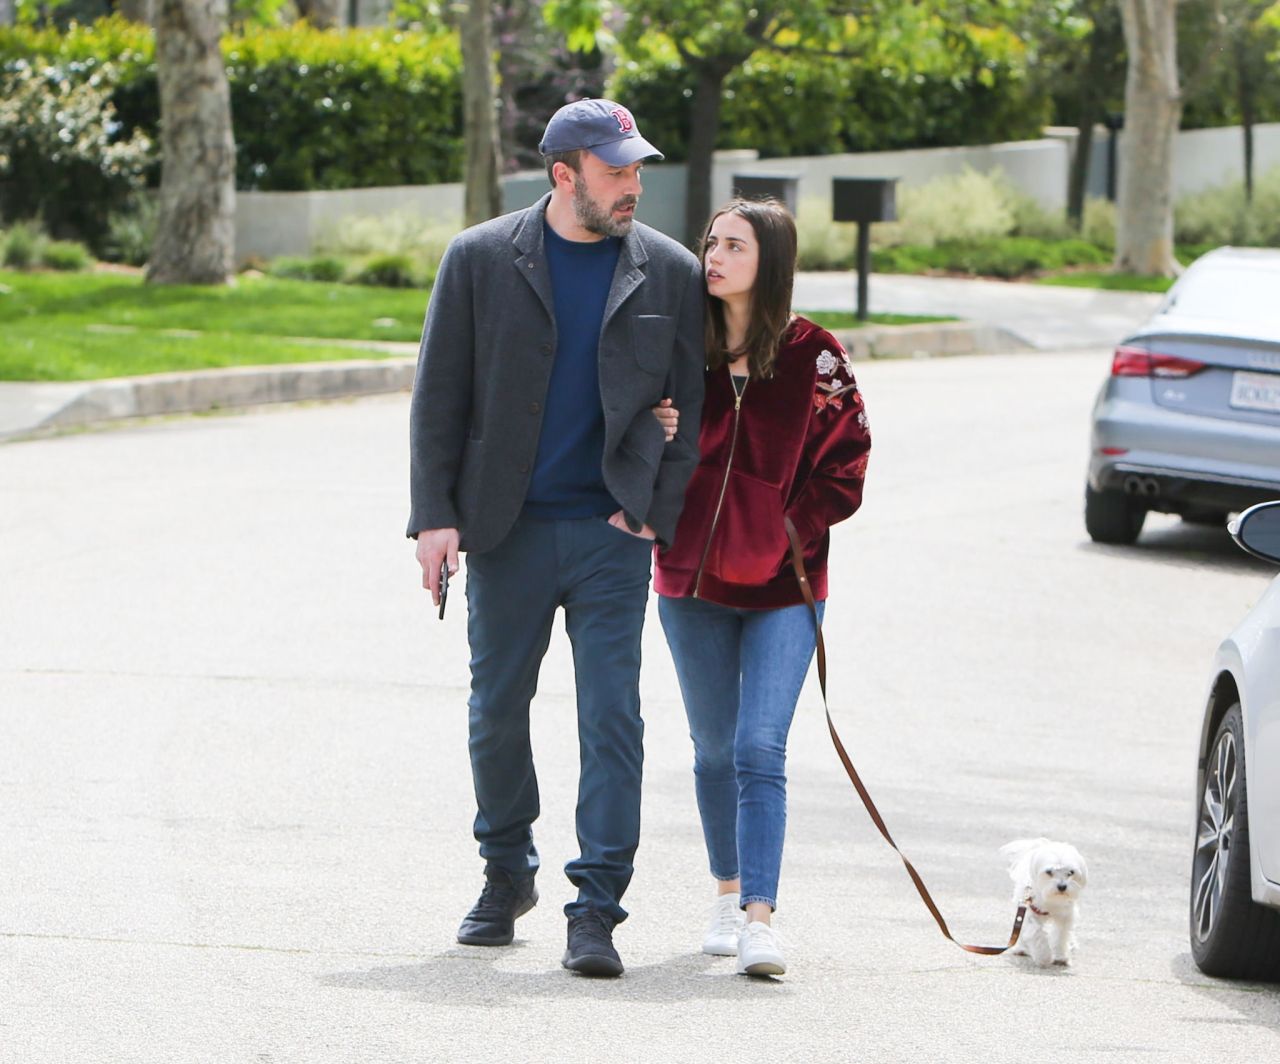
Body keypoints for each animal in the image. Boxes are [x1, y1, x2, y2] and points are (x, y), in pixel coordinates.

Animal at [998, 834, 1090, 967]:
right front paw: (1044, 957)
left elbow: (1060, 935)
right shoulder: (1030, 911)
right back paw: (1021, 949)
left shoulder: (1065, 916)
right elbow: (1037, 934)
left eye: (1071, 872)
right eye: (1049, 871)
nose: (1062, 886)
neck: (1052, 898)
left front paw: (1061, 956)